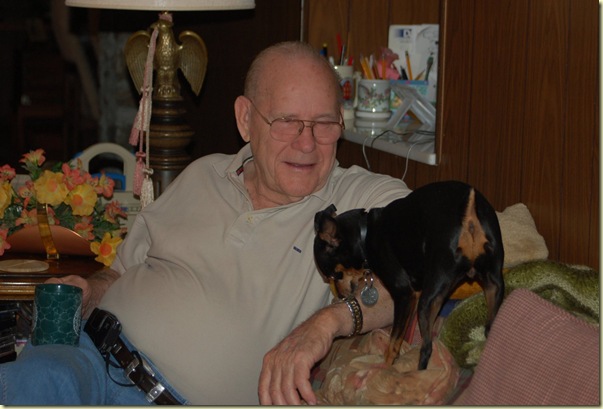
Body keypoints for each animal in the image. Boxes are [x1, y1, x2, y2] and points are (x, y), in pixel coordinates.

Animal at [314, 180, 505, 370]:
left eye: (335, 275)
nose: (340, 296)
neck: (365, 234)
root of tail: (468, 211)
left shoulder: (404, 294)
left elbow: (393, 341)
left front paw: (386, 367)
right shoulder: (414, 295)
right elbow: (402, 335)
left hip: (428, 300)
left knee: (427, 348)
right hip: (493, 285)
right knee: (489, 329)